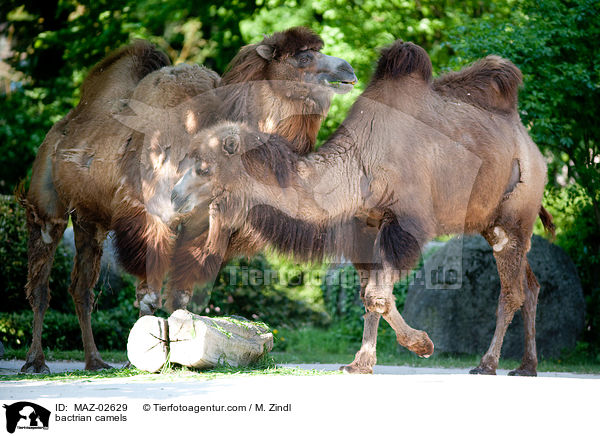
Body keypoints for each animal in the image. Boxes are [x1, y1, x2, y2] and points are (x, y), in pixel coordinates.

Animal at [18, 29, 356, 372]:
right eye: (303, 56)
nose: (348, 69)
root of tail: (61, 129)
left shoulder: (199, 227)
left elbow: (180, 297)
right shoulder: (152, 218)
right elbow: (149, 295)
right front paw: (139, 357)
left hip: (89, 218)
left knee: (81, 287)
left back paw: (95, 361)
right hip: (46, 203)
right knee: (41, 284)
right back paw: (36, 361)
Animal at [171, 39, 556, 376]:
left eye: (203, 166)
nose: (174, 196)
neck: (359, 164)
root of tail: (533, 148)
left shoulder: (403, 224)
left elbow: (378, 295)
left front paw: (422, 345)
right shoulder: (362, 226)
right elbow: (368, 295)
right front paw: (361, 363)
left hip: (513, 215)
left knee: (511, 292)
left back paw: (488, 364)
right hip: (493, 220)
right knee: (532, 286)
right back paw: (527, 366)